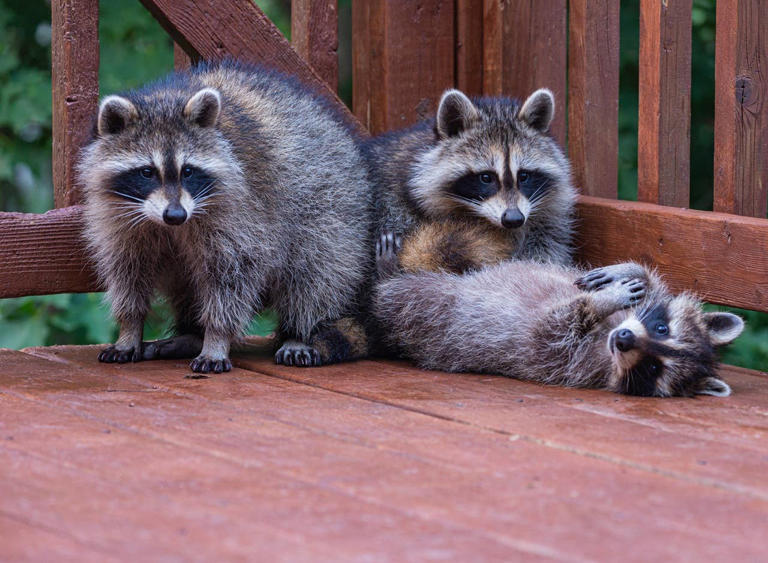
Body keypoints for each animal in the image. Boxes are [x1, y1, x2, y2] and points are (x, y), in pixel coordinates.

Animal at [78, 61, 374, 373]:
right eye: (147, 172)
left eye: (188, 171)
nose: (175, 215)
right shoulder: (120, 218)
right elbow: (128, 272)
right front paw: (130, 327)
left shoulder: (243, 210)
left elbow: (233, 275)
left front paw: (216, 337)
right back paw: (191, 334)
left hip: (331, 207)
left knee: (314, 273)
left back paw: (297, 332)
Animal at [364, 87, 577, 274]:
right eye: (486, 177)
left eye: (523, 176)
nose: (513, 219)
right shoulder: (395, 207)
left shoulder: (548, 218)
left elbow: (546, 247)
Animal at [373, 249, 743, 397]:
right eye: (662, 329)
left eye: (654, 369)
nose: (623, 339)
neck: (607, 333)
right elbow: (651, 281)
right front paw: (627, 273)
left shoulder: (564, 361)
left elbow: (554, 326)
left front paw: (596, 303)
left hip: (428, 314)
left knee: (399, 295)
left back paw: (387, 273)